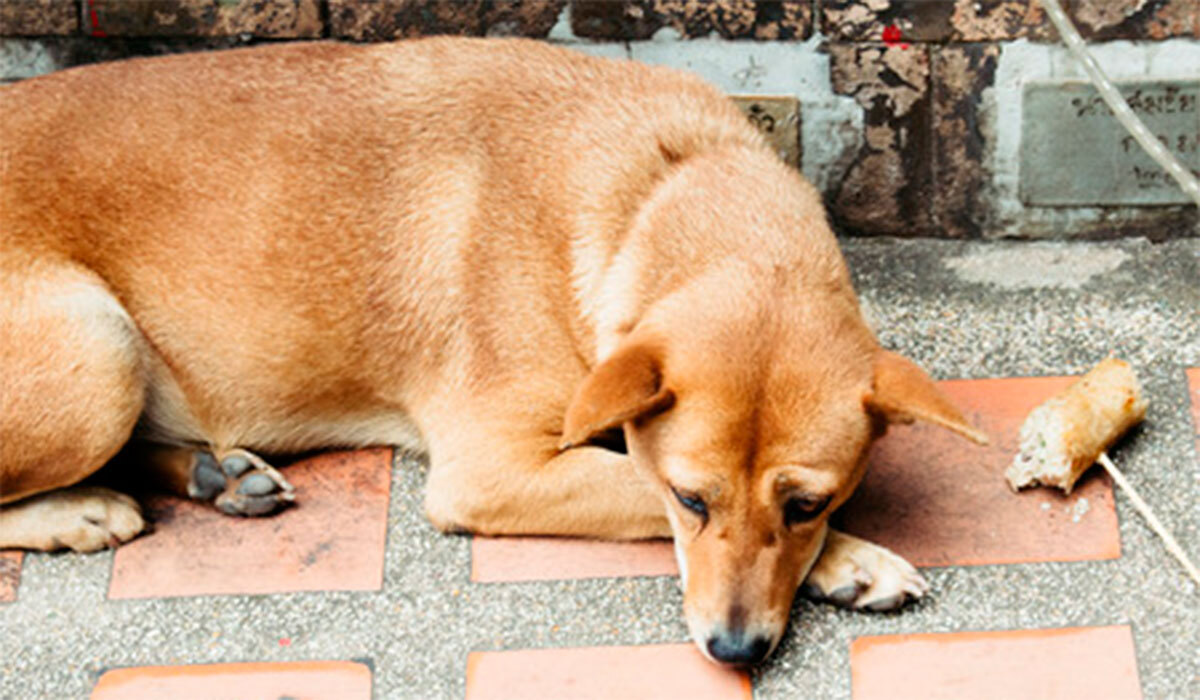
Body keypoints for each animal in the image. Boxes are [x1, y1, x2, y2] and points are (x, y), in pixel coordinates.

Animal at [0, 38, 988, 667]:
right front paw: (853, 559)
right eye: (691, 499)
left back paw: (213, 474)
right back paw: (77, 510)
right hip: (97, 354)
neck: (658, 182)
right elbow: (630, 484)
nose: (734, 651)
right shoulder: (493, 469)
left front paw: (842, 556)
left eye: (809, 502)